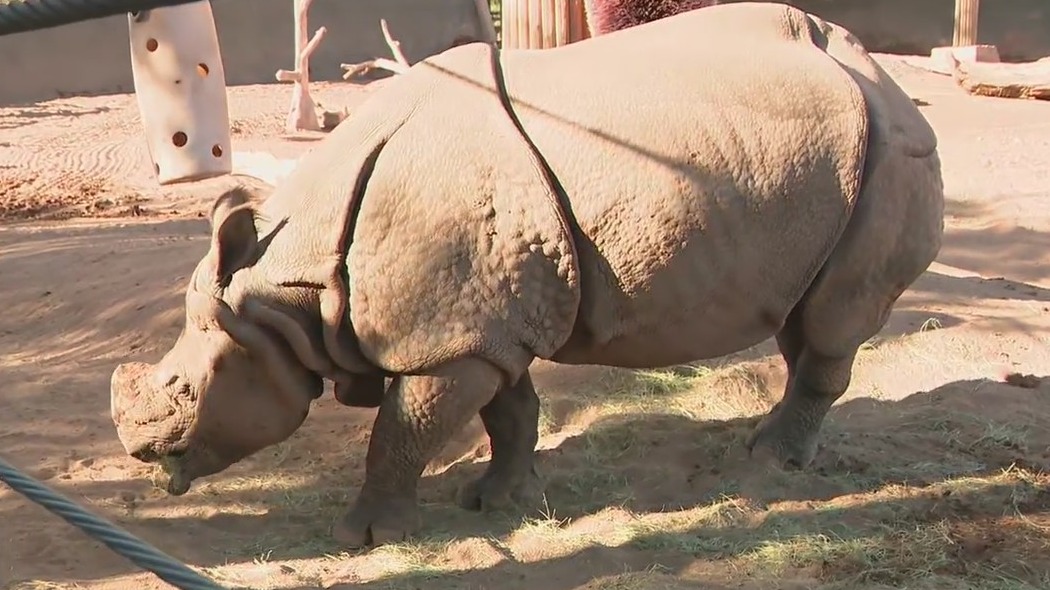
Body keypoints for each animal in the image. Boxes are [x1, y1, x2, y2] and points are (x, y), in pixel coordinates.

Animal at [110, 2, 944, 548]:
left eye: (186, 387)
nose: (145, 458)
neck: (284, 292)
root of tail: (874, 68)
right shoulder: (481, 325)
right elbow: (507, 413)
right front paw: (499, 502)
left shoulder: (450, 338)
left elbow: (400, 433)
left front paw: (364, 538)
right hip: (827, 157)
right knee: (806, 308)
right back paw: (768, 447)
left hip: (893, 150)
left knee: (832, 319)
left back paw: (771, 466)